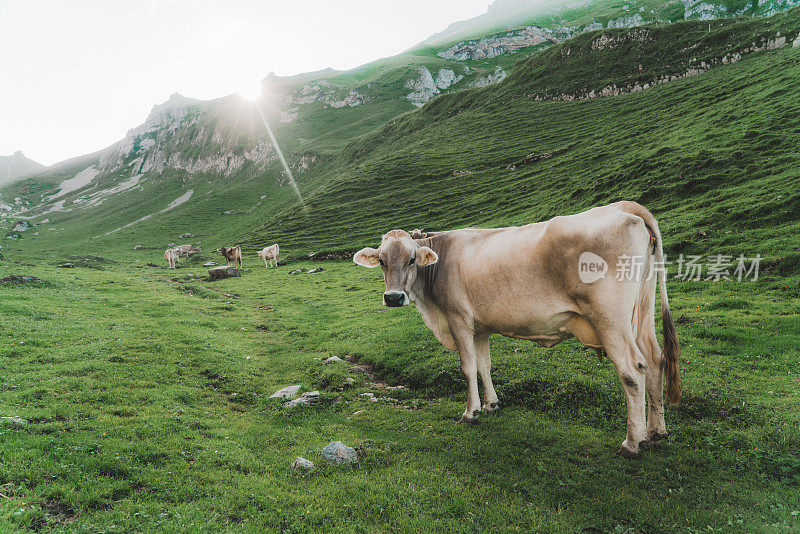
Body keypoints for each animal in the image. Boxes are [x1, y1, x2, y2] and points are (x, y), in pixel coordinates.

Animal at [354, 203, 680, 458]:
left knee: (632, 368)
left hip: (610, 318)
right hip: (641, 312)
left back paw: (632, 442)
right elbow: (484, 365)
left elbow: (468, 367)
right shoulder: (479, 327)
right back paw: (656, 431)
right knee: (654, 360)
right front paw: (491, 404)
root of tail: (625, 206)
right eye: (381, 261)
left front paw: (470, 412)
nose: (393, 297)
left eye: (411, 259)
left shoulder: (458, 319)